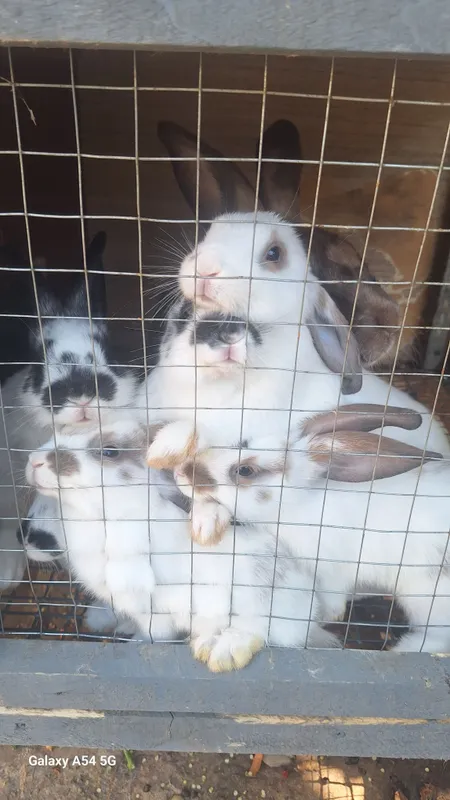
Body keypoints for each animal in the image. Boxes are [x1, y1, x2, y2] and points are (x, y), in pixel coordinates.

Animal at [25, 414, 338, 670]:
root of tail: (310, 615)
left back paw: (223, 649)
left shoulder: (155, 607)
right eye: (60, 431)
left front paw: (136, 642)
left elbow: (155, 634)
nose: (34, 461)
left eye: (109, 451)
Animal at [173, 403, 450, 654]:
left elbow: (332, 602)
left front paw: (326, 617)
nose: (180, 473)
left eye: (245, 470)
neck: (296, 503)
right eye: (243, 440)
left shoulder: (331, 570)